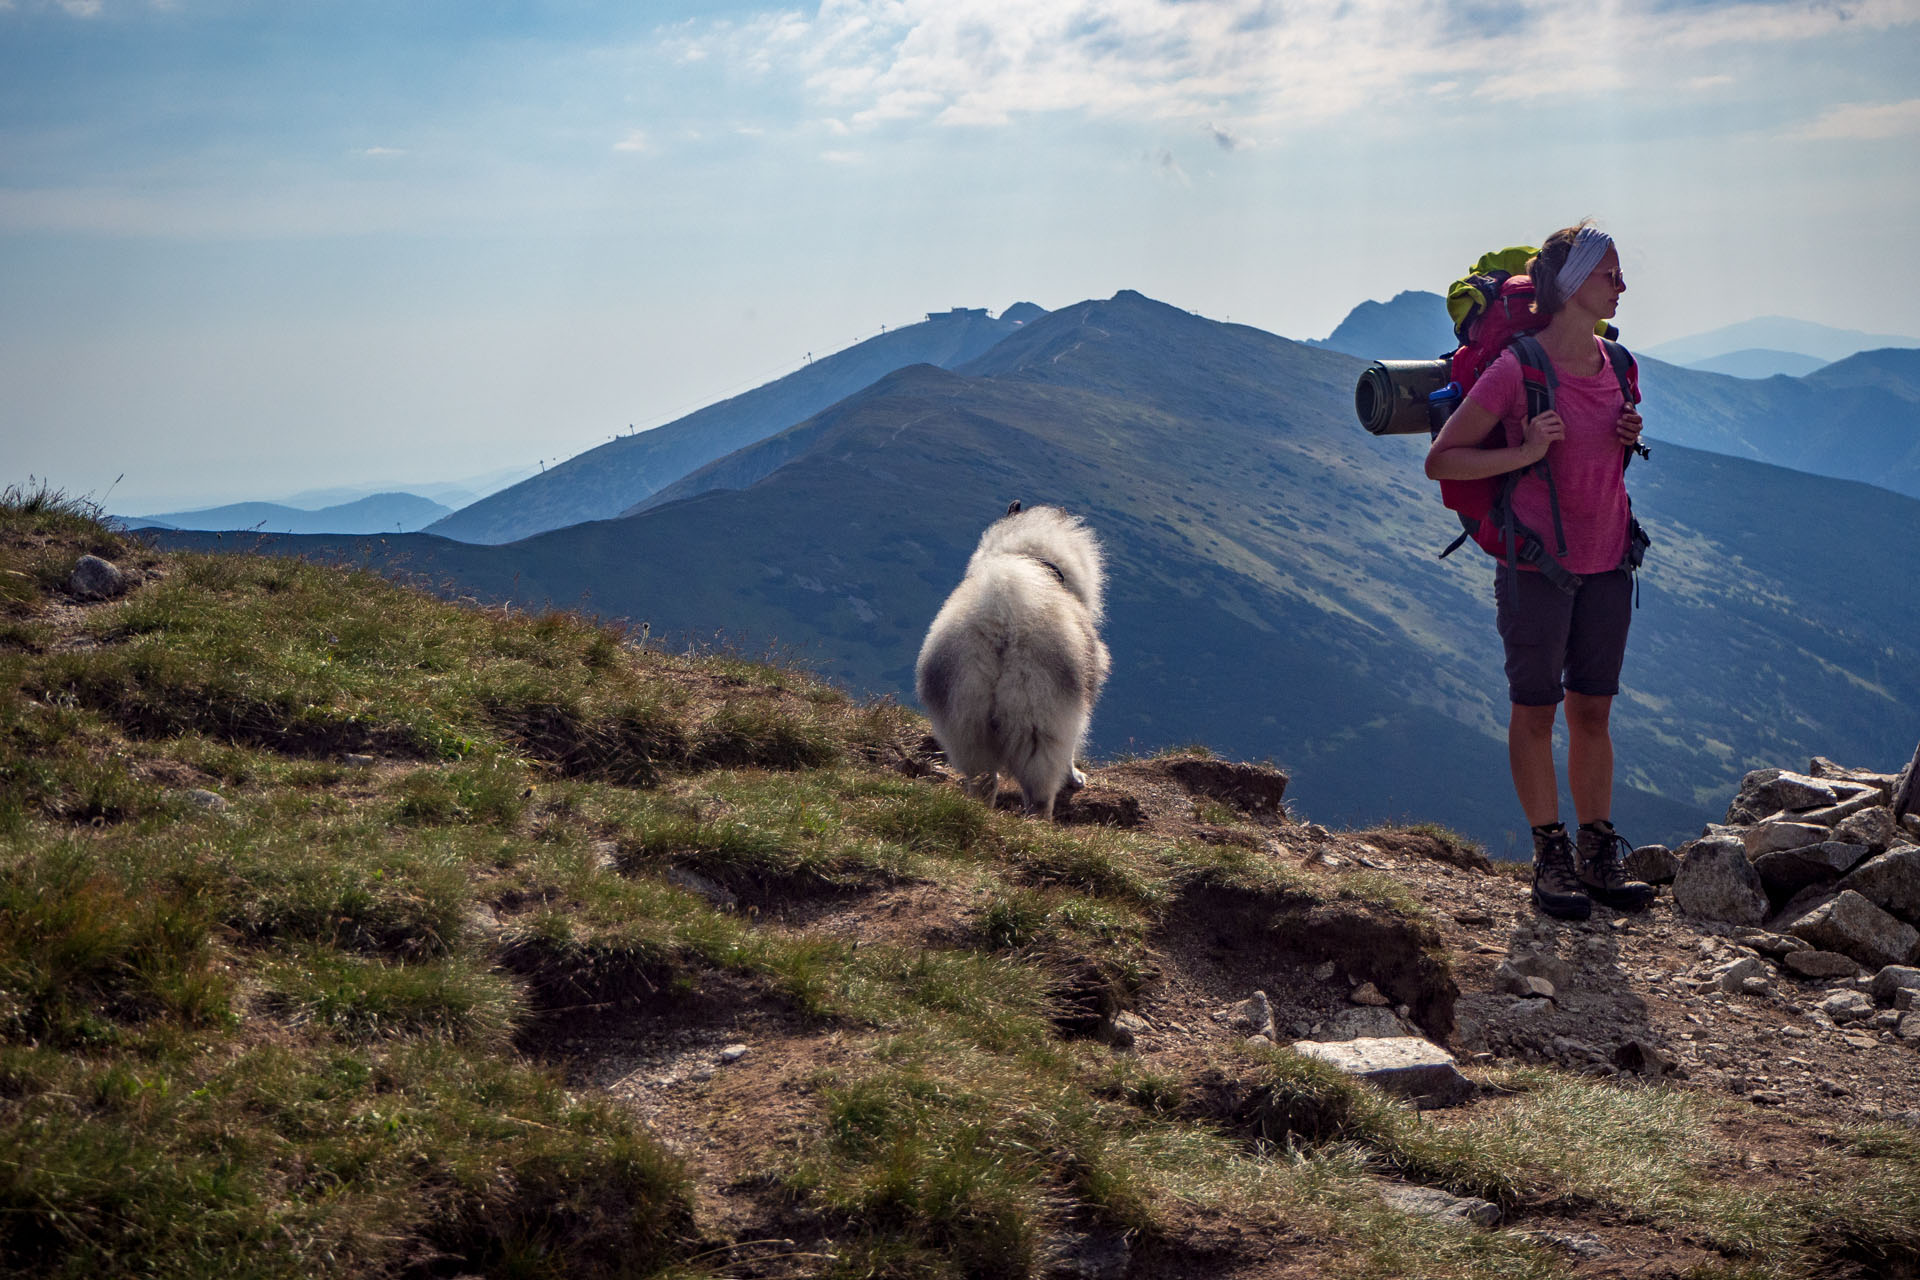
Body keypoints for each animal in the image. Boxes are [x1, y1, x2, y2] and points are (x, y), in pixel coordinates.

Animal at [913, 502, 1113, 821]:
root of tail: (1001, 622)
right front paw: (1076, 778)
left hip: (966, 725)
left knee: (983, 784)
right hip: (1039, 727)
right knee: (1039, 797)